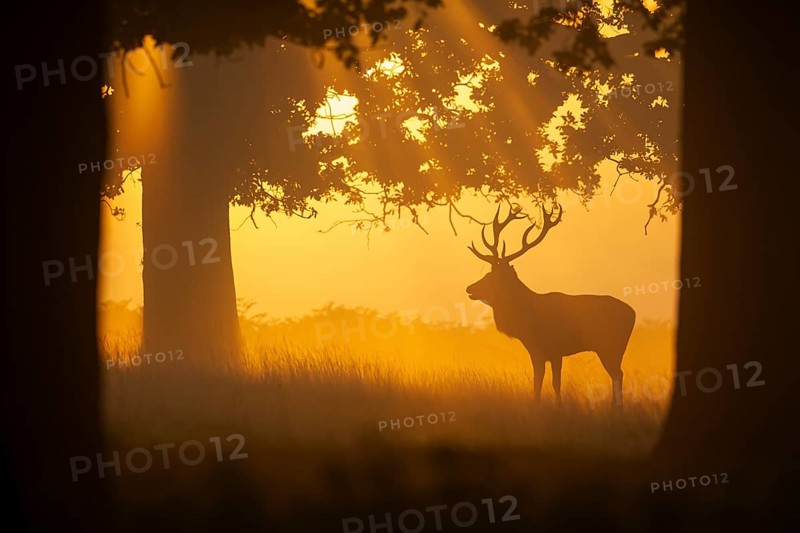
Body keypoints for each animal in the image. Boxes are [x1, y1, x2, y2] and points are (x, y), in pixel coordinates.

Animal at [466, 203, 635, 407]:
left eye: (491, 277)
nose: (469, 288)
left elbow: (544, 383)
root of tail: (633, 313)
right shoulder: (546, 352)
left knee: (617, 374)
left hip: (609, 344)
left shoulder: (547, 350)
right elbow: (548, 382)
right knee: (617, 374)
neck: (525, 323)